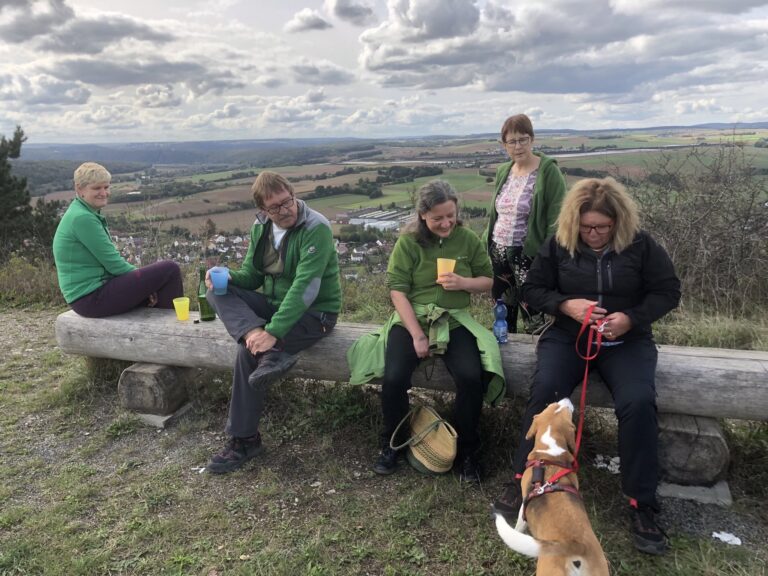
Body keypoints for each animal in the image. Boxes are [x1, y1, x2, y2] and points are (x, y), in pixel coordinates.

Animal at [496, 398, 608, 576]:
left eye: (566, 409)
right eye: (552, 405)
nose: (567, 399)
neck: (549, 453)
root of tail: (576, 547)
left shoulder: (524, 506)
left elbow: (519, 526)